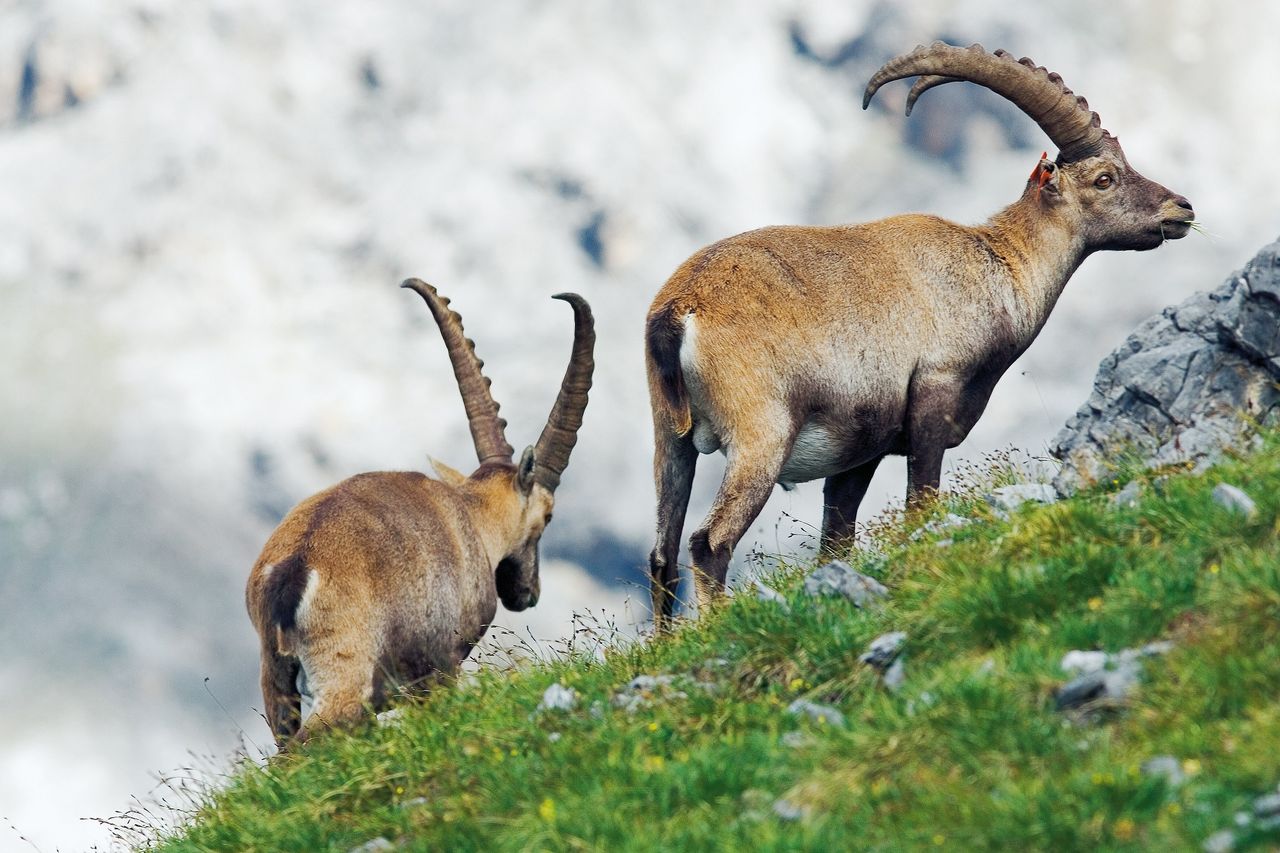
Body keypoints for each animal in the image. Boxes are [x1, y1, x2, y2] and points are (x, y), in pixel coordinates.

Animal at [246, 278, 594, 744]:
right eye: (548, 516)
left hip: (275, 677)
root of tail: (293, 571)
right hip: (343, 672)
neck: (474, 518)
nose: (527, 594)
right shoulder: (441, 667)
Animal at [644, 42, 1195, 628]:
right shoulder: (935, 394)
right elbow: (920, 504)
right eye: (1104, 179)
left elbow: (836, 539)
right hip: (761, 438)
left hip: (669, 439)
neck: (1000, 266)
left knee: (663, 555)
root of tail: (680, 309)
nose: (1181, 208)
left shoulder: (860, 451)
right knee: (708, 542)